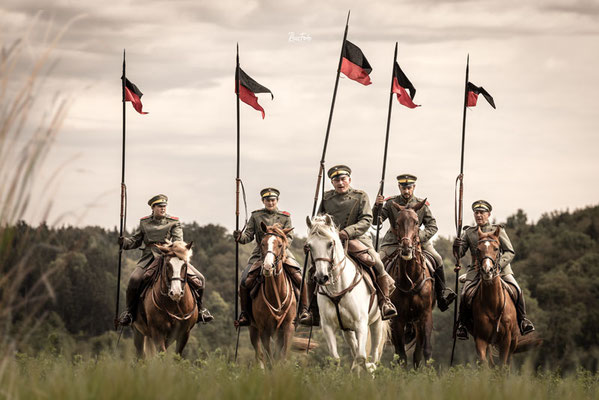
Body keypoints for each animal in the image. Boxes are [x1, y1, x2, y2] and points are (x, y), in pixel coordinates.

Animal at [248, 223, 298, 368]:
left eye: (280, 245)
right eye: (263, 243)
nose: (267, 267)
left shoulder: (288, 327)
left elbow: (282, 358)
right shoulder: (263, 330)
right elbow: (270, 360)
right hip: (253, 329)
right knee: (259, 354)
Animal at [304, 214, 390, 374]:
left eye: (330, 244)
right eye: (309, 246)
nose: (321, 277)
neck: (337, 288)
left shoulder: (361, 324)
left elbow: (361, 358)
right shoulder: (328, 327)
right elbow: (336, 359)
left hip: (376, 323)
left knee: (374, 356)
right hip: (347, 330)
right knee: (356, 350)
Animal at [390, 198, 436, 368]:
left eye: (416, 222)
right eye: (397, 223)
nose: (406, 248)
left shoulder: (425, 316)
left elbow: (426, 351)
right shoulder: (397, 320)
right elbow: (401, 356)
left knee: (417, 354)